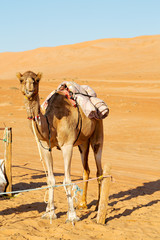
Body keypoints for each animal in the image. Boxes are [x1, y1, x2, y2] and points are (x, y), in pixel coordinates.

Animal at [17, 70, 104, 222]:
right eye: (22, 80)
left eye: (36, 80)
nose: (29, 90)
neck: (51, 122)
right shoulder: (45, 147)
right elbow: (50, 179)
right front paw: (49, 213)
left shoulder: (67, 145)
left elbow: (67, 180)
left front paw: (72, 216)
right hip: (83, 142)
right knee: (86, 170)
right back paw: (83, 204)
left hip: (98, 132)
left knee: (99, 170)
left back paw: (98, 206)